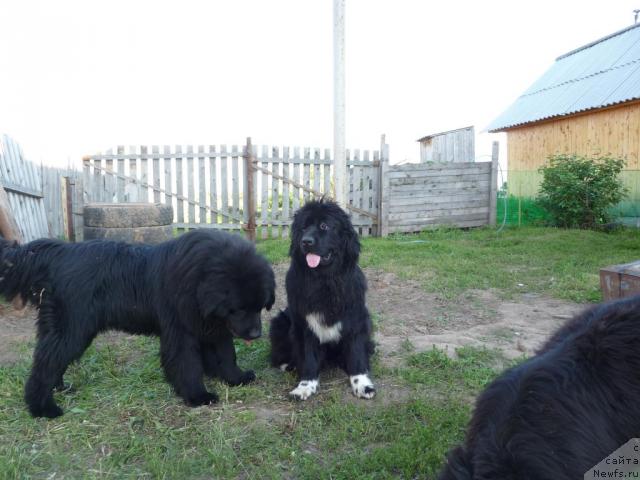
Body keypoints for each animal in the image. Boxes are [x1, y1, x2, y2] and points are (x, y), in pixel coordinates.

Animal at [0, 231, 276, 418]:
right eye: (238, 308)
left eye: (260, 306)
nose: (256, 333)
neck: (199, 281)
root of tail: (60, 252)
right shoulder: (180, 332)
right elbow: (187, 364)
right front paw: (198, 396)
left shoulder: (213, 326)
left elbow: (225, 355)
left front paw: (236, 378)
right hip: (73, 329)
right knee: (45, 364)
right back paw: (42, 408)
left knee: (51, 358)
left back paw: (59, 388)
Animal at [268, 199, 376, 402]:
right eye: (303, 228)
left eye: (324, 226)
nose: (306, 241)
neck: (325, 280)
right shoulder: (304, 325)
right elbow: (308, 358)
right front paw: (305, 386)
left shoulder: (355, 319)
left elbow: (356, 353)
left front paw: (362, 384)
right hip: (279, 322)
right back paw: (288, 364)